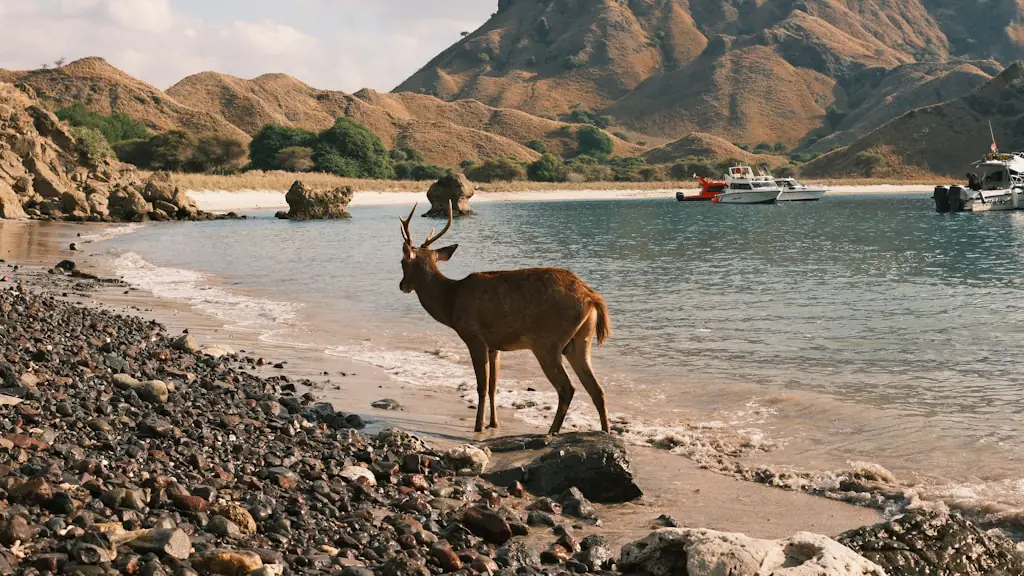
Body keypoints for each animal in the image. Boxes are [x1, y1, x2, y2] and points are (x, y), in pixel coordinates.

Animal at [398, 201, 612, 435]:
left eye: (402, 262)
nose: (402, 285)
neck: (451, 303)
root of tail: (592, 298)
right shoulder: (495, 345)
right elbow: (494, 385)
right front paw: (494, 423)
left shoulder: (474, 337)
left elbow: (482, 385)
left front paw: (478, 426)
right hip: (580, 341)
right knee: (597, 389)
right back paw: (605, 431)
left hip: (548, 341)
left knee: (567, 388)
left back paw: (552, 431)